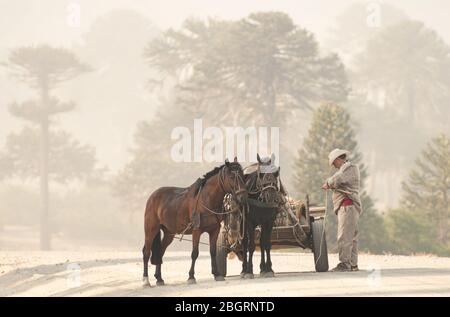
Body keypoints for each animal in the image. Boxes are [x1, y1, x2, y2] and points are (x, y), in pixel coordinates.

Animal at [142, 157, 246, 286]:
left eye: (242, 175)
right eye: (231, 177)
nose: (243, 197)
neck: (207, 199)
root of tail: (152, 196)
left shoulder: (214, 230)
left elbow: (212, 252)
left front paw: (217, 274)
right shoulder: (197, 231)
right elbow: (194, 253)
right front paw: (191, 276)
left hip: (168, 233)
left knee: (160, 251)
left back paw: (159, 278)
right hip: (151, 230)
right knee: (146, 252)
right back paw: (146, 280)